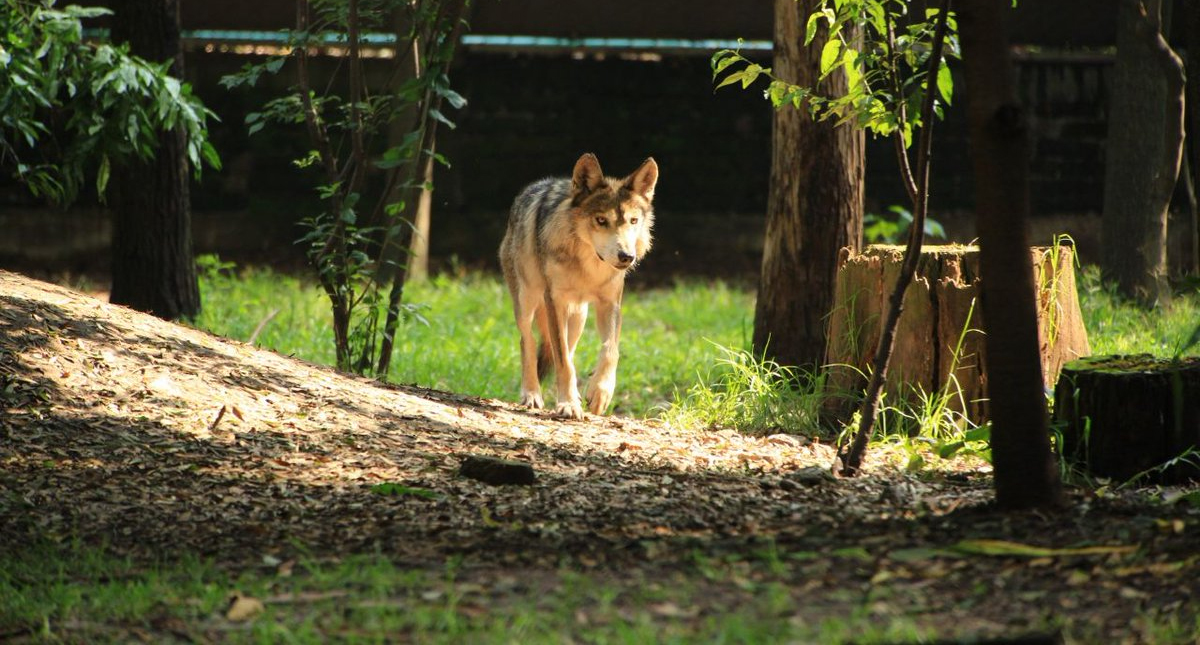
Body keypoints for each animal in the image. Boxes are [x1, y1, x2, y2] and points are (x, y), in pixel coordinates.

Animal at [499, 153, 659, 419]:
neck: (589, 268)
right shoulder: (554, 302)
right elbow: (562, 360)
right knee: (528, 341)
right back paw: (532, 394)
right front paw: (568, 404)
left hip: (578, 317)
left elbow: (610, 351)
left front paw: (600, 393)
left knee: (567, 351)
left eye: (633, 221)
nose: (627, 256)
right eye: (601, 220)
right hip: (527, 300)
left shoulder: (610, 304)